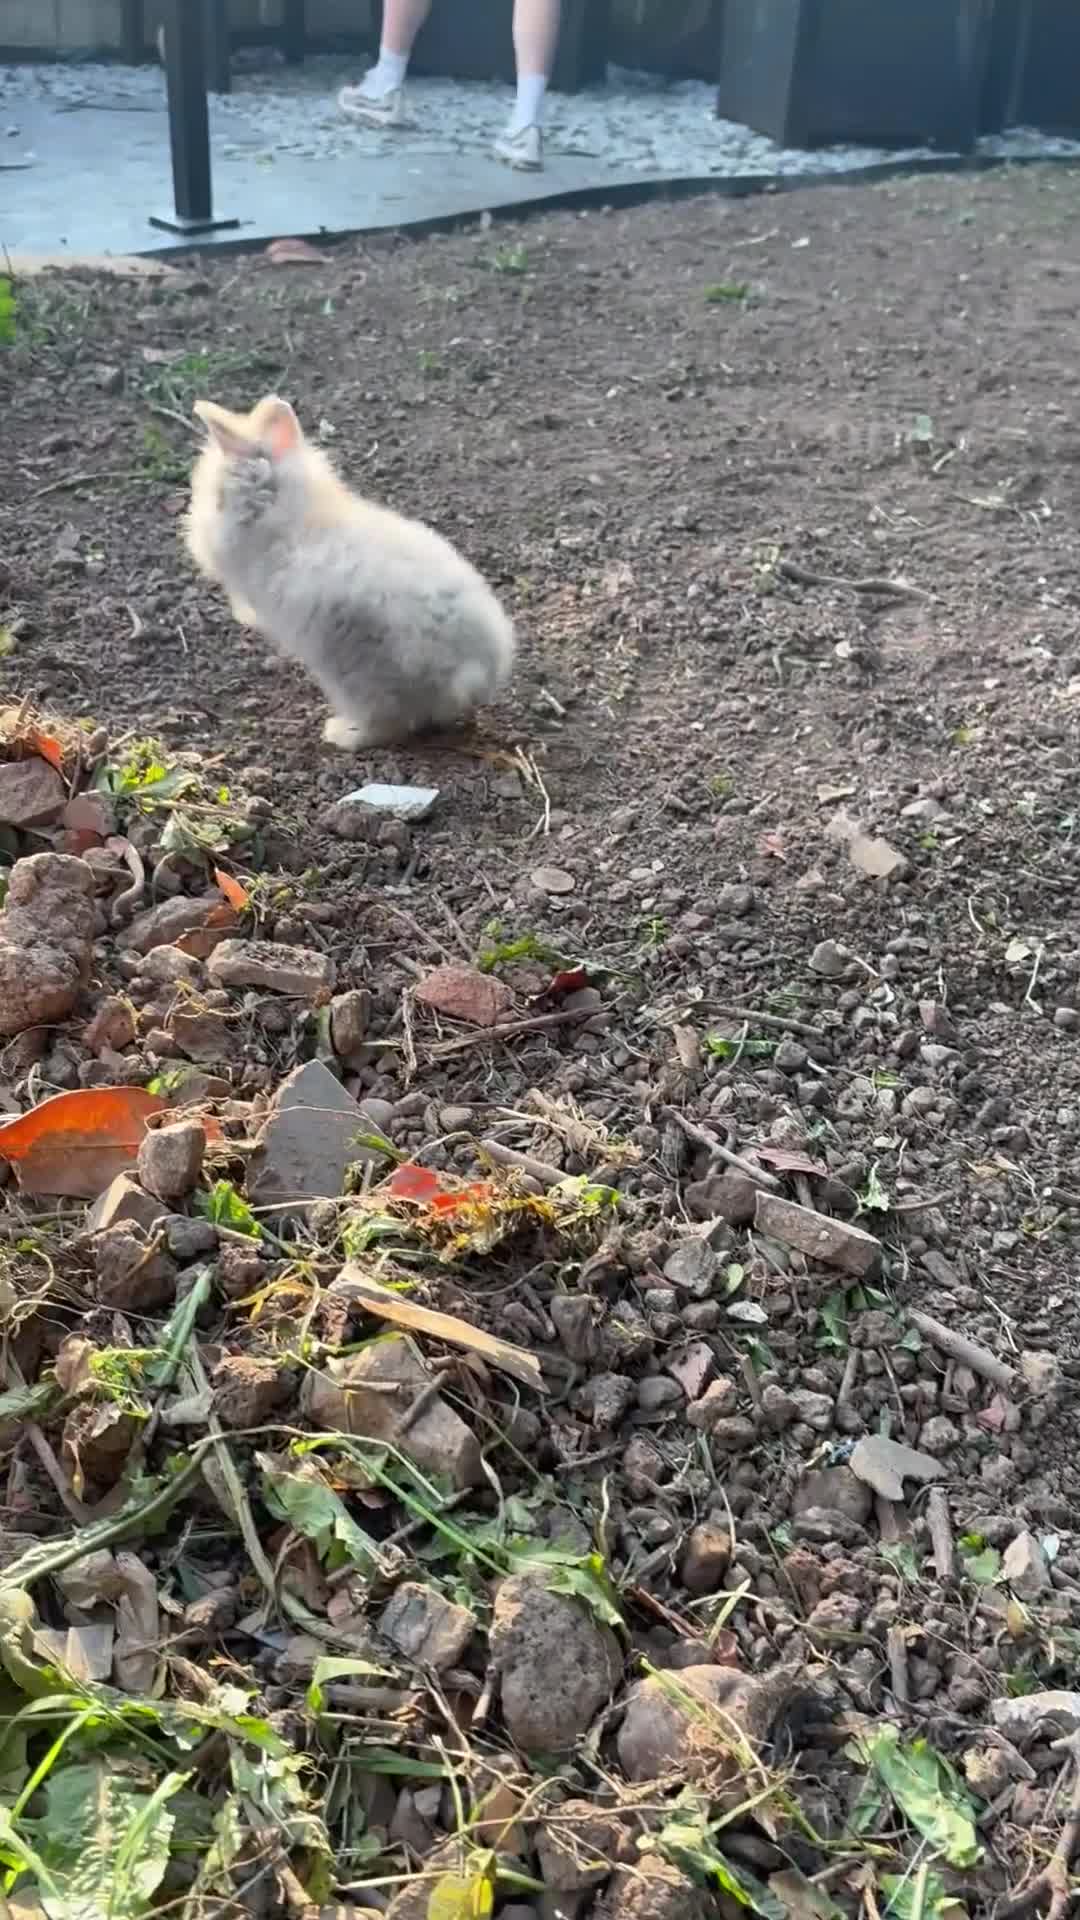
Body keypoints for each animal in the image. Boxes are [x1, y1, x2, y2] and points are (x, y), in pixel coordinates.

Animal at [184, 393, 515, 749]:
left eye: (218, 499)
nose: (194, 537)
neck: (288, 520)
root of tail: (474, 672)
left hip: (357, 678)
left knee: (390, 723)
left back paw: (341, 734)